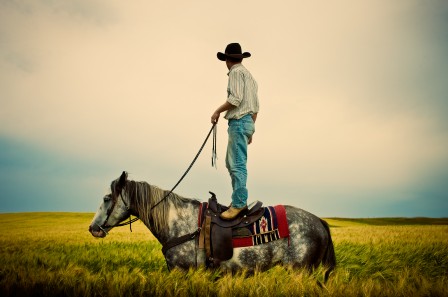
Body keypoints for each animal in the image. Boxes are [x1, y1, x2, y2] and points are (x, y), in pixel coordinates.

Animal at [89, 171, 334, 276]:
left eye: (107, 198)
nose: (93, 229)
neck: (179, 223)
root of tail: (319, 222)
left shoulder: (183, 271)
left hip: (299, 271)